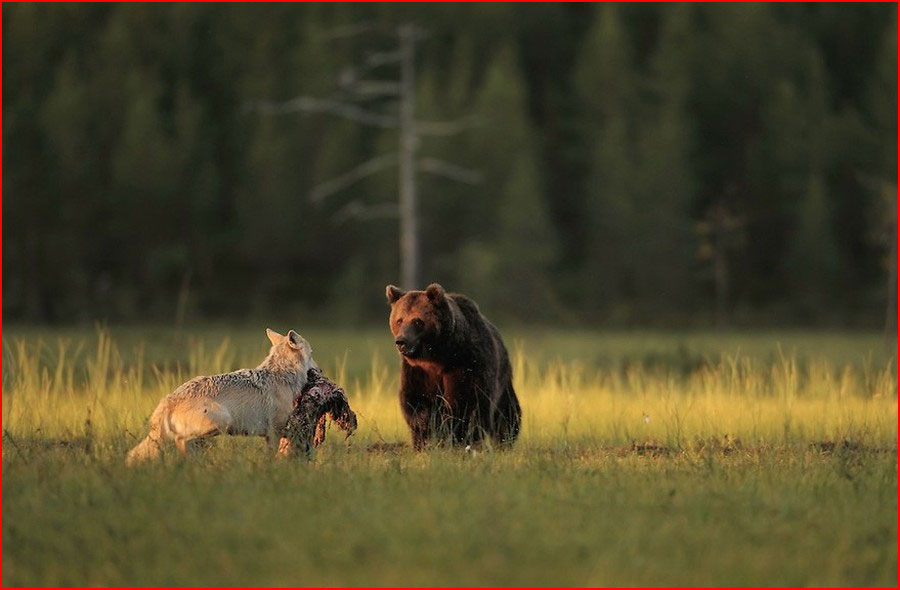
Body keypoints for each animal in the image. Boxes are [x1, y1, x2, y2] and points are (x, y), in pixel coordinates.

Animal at [384, 284, 524, 450]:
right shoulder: (418, 371)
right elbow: (414, 400)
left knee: (506, 413)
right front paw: (426, 431)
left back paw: (503, 440)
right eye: (399, 320)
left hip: (502, 378)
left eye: (417, 321)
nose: (401, 341)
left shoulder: (465, 363)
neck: (439, 356)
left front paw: (453, 436)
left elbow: (464, 402)